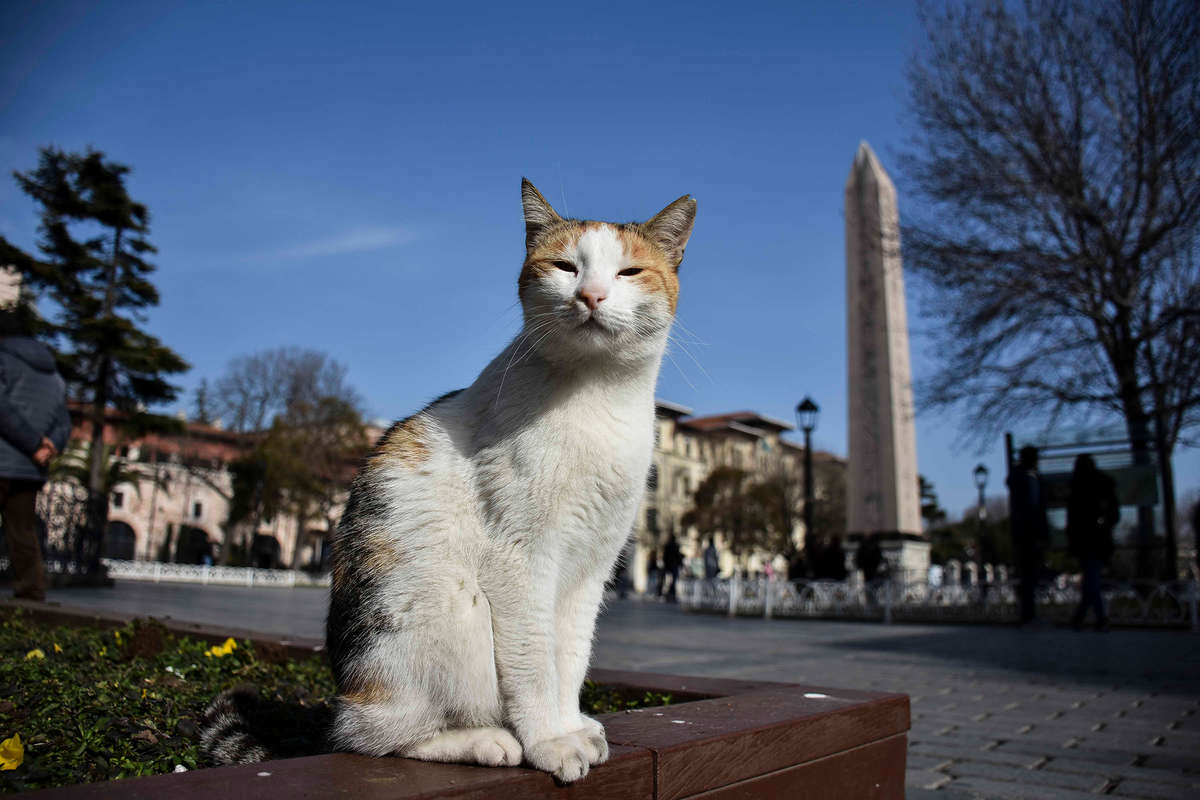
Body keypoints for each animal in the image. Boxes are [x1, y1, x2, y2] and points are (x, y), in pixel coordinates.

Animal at [202, 179, 700, 782]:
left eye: (628, 272)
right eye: (564, 266)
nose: (591, 296)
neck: (599, 395)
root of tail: (346, 691)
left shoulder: (593, 566)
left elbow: (571, 657)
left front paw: (570, 725)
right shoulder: (521, 559)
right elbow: (536, 663)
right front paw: (549, 742)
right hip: (453, 607)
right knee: (370, 737)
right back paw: (487, 740)